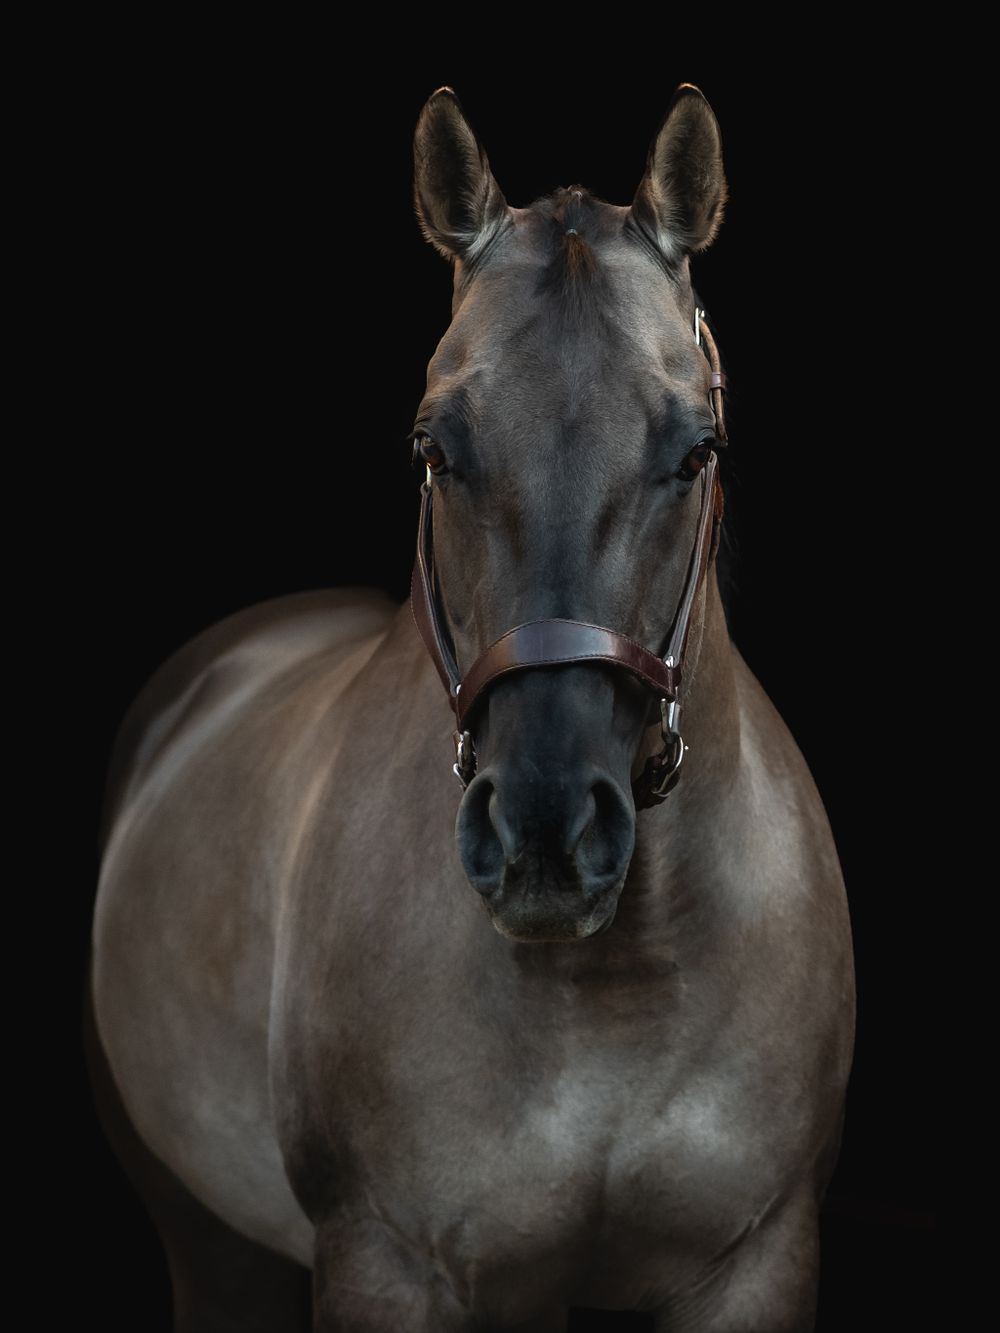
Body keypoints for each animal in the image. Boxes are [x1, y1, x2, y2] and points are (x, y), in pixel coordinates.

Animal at [85, 83, 855, 1332]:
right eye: (432, 446)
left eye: (699, 449)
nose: (544, 833)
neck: (613, 986)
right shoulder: (386, 1265)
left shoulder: (759, 1260)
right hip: (204, 1238)